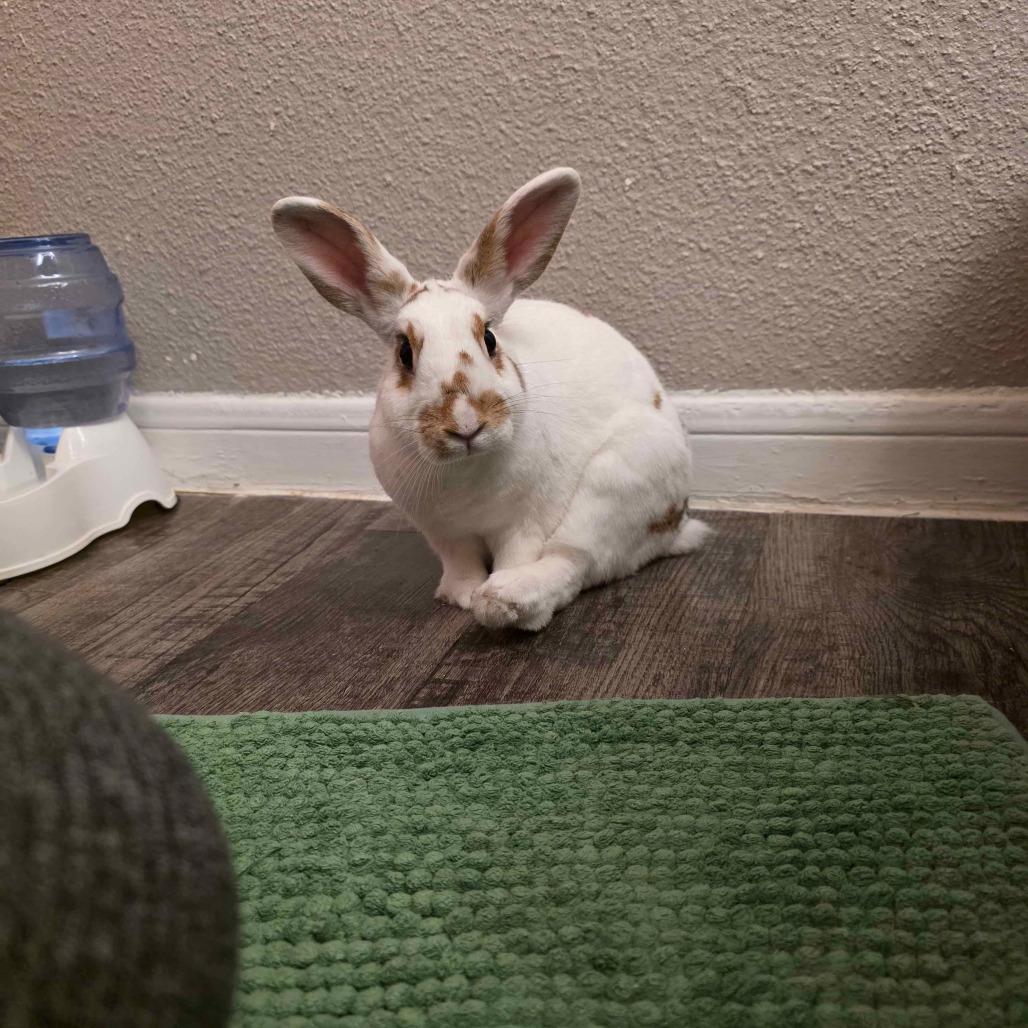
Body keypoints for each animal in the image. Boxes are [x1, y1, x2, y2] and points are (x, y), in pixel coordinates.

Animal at [271, 167, 710, 631]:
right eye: (404, 353)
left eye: (490, 338)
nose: (466, 424)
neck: (465, 473)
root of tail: (676, 526)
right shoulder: (445, 534)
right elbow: (460, 563)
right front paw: (458, 594)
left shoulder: (524, 525)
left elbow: (523, 553)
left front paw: (486, 591)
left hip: (618, 483)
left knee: (574, 560)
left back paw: (505, 599)